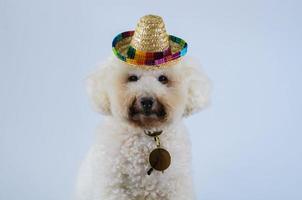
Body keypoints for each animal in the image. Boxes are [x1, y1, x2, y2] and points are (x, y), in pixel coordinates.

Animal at [76, 55, 210, 200]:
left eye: (163, 78)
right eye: (133, 78)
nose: (146, 101)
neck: (147, 131)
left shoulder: (175, 185)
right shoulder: (113, 185)